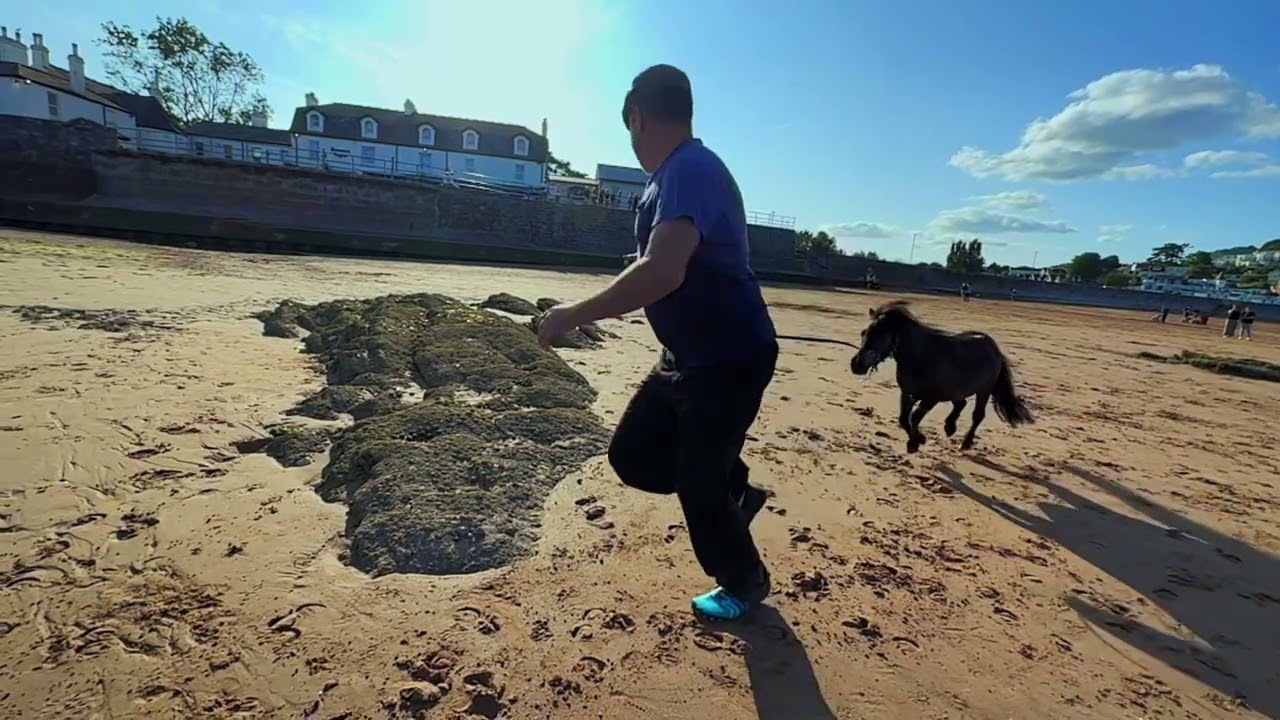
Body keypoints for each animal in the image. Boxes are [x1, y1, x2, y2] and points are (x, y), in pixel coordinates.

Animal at [849, 300, 1034, 453]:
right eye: (863, 333)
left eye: (881, 335)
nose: (856, 365)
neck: (921, 357)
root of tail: (994, 349)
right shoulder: (907, 393)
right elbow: (903, 419)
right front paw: (919, 439)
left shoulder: (931, 398)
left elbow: (914, 417)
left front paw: (915, 443)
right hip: (957, 390)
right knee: (961, 404)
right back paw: (949, 427)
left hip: (984, 391)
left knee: (977, 416)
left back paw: (965, 443)